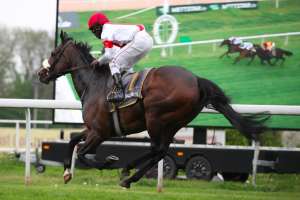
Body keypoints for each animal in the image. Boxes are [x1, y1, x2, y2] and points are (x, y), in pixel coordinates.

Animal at [37, 31, 270, 189]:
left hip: (155, 116)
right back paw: (129, 175)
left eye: (54, 53)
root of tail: (196, 79)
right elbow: (73, 141)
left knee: (157, 149)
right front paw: (66, 173)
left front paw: (108, 161)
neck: (94, 83)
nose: (41, 74)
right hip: (174, 122)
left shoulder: (100, 132)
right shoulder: (93, 129)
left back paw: (127, 171)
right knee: (161, 151)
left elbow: (84, 153)